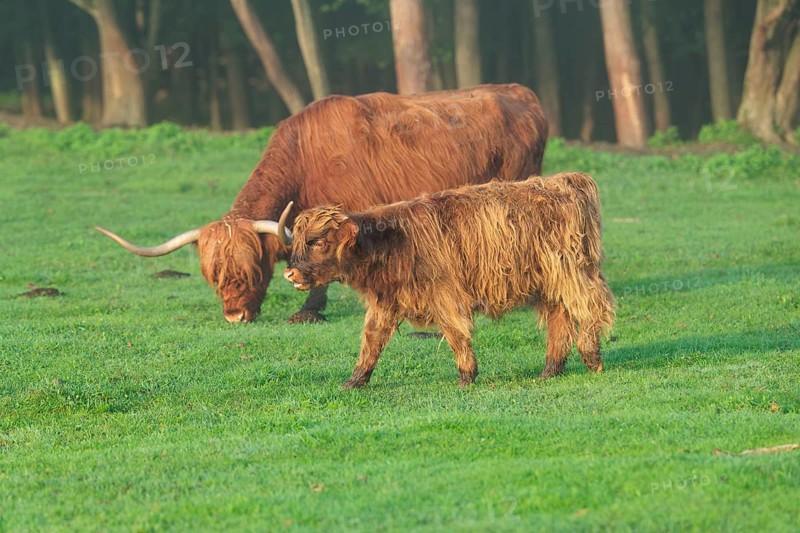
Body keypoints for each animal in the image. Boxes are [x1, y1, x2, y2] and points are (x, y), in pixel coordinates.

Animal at [96, 84, 548, 324]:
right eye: (213, 274)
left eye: (251, 268)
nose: (235, 316)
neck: (304, 159)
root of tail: (520, 92)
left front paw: (310, 310)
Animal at [279, 172, 615, 388]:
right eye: (298, 240)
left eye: (317, 241)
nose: (290, 273)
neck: (389, 244)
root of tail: (565, 180)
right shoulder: (385, 301)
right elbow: (372, 340)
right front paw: (354, 380)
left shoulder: (445, 294)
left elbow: (455, 333)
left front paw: (467, 377)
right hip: (550, 283)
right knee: (560, 319)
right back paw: (549, 371)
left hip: (571, 271)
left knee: (592, 305)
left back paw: (592, 357)